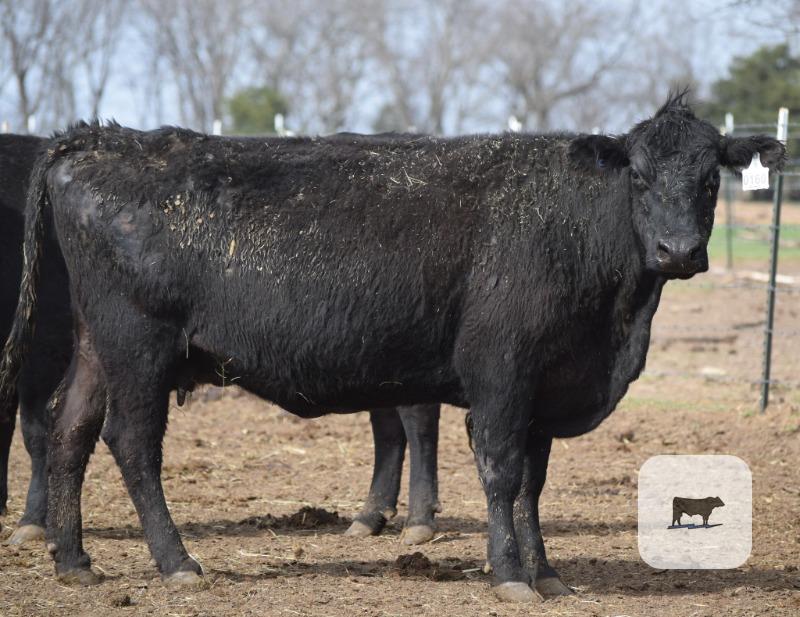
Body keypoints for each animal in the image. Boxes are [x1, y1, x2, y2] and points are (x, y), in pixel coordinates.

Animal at [0, 93, 784, 602]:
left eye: (710, 178)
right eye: (639, 177)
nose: (677, 251)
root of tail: (95, 137)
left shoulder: (547, 383)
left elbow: (533, 482)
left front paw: (548, 572)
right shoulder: (501, 374)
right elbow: (501, 472)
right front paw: (510, 576)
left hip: (96, 347)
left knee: (68, 432)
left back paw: (75, 560)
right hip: (139, 346)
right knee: (131, 443)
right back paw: (176, 561)